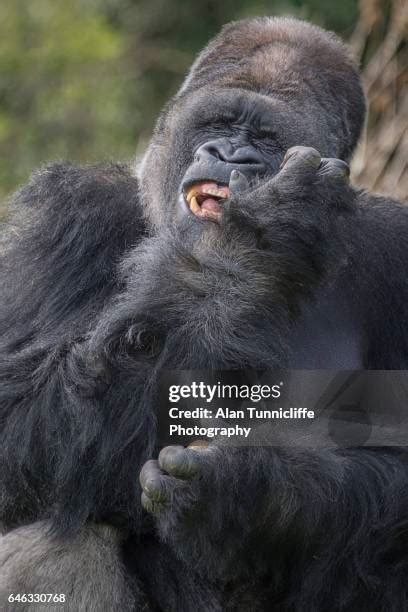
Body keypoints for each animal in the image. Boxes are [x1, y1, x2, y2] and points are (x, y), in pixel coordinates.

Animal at [0, 14, 408, 612]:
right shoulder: (67, 216)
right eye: (218, 123)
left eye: (265, 139)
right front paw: (253, 250)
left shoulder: (395, 250)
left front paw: (251, 499)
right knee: (55, 532)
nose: (230, 156)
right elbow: (17, 424)